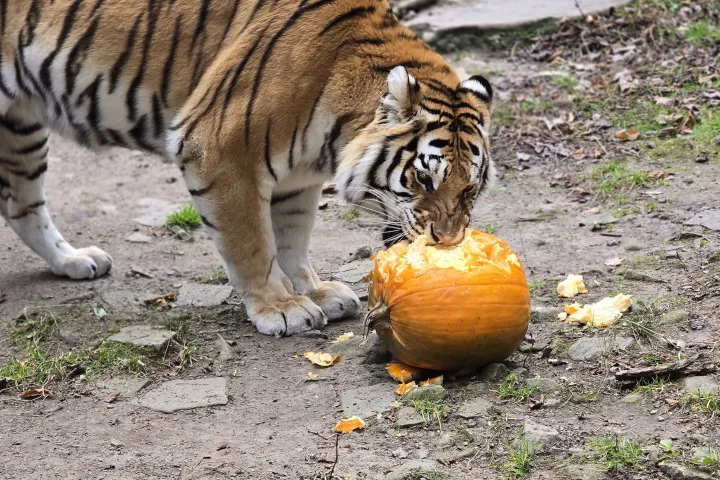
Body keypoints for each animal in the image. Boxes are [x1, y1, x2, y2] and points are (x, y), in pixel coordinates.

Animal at [0, 0, 494, 337]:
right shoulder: (220, 149)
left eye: (470, 190)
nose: (447, 243)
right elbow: (252, 241)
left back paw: (73, 260)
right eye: (423, 179)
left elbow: (291, 237)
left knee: (21, 205)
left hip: (21, 126)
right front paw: (281, 308)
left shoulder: (298, 178)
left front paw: (311, 291)